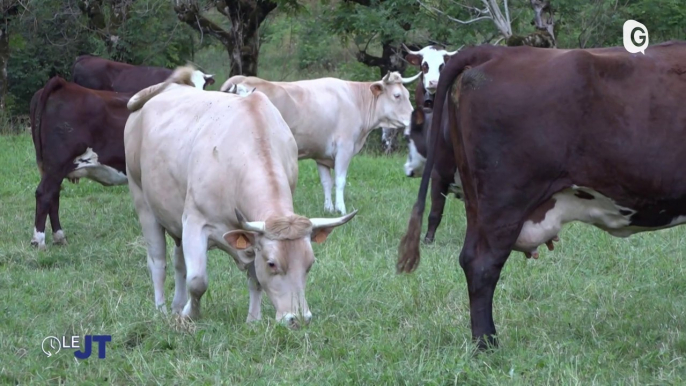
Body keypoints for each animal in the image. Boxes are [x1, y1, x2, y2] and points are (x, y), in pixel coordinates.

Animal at [29, 77, 134, 250]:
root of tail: (63, 84)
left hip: (54, 168)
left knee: (53, 195)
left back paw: (59, 237)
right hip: (57, 164)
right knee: (45, 194)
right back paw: (39, 241)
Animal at [125, 65, 360, 326]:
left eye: (310, 263)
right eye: (272, 263)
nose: (298, 319)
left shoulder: (251, 237)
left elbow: (254, 280)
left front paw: (253, 319)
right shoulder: (195, 223)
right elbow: (198, 281)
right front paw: (190, 314)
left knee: (178, 264)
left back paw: (176, 305)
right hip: (142, 201)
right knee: (158, 262)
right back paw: (162, 309)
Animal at [222, 71, 420, 214]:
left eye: (407, 94)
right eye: (397, 95)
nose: (414, 118)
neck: (355, 100)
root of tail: (242, 78)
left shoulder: (321, 155)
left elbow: (326, 182)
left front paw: (328, 208)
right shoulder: (345, 148)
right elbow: (340, 180)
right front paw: (341, 209)